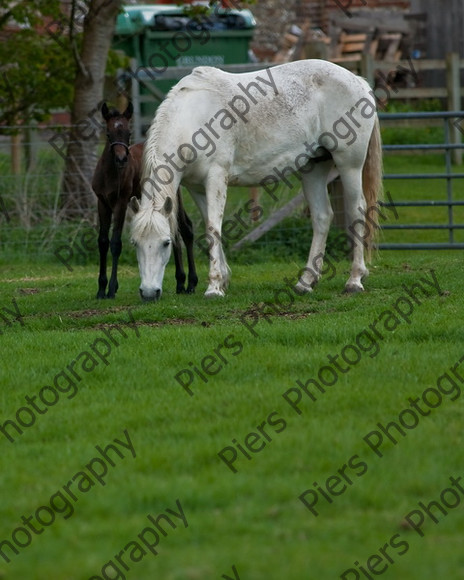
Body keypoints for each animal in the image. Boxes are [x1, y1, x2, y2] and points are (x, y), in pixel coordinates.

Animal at [130, 59, 380, 302]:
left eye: (166, 243)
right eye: (135, 243)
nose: (149, 293)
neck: (193, 116)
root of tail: (358, 82)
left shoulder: (216, 178)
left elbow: (213, 228)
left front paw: (214, 287)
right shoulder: (197, 188)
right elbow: (211, 226)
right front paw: (223, 280)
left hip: (349, 166)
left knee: (357, 211)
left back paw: (354, 280)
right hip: (314, 168)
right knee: (322, 217)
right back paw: (305, 282)